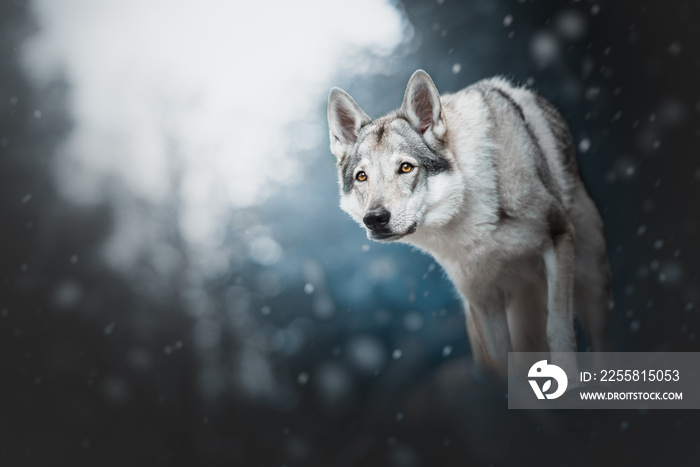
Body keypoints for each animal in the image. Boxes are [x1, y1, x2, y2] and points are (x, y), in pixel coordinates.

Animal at [326, 70, 608, 376]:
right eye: (362, 176)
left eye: (406, 167)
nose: (375, 219)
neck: (470, 220)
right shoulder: (481, 297)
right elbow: (502, 364)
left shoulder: (557, 235)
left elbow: (557, 329)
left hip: (592, 287)